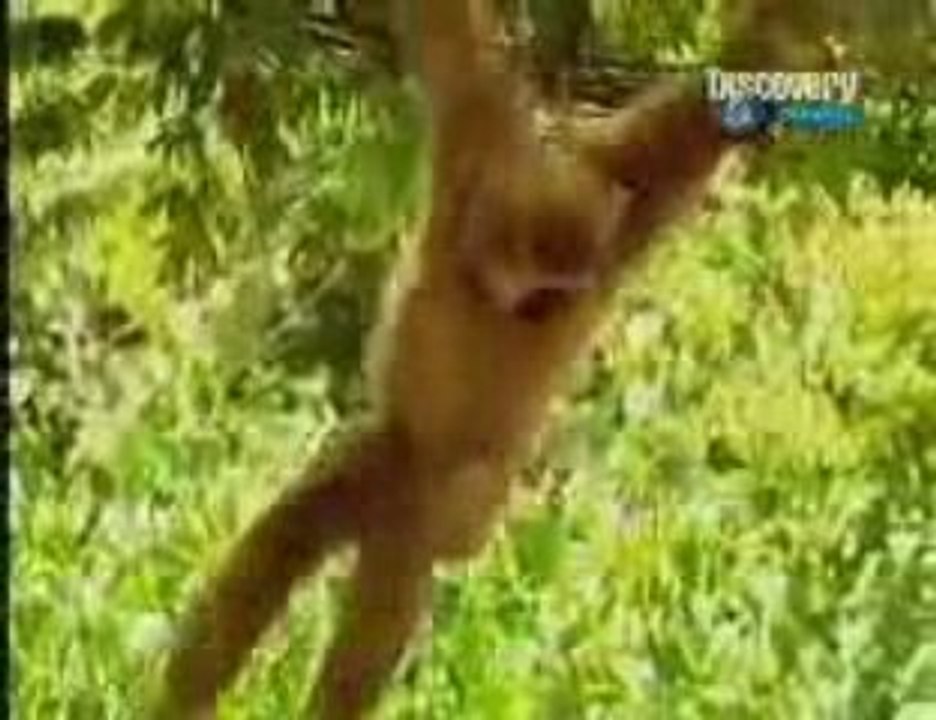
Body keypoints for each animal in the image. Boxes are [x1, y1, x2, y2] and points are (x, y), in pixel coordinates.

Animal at [152, 1, 802, 718]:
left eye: (558, 293)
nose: (548, 305)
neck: (484, 274)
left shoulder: (624, 200)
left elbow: (717, 100)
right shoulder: (485, 125)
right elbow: (449, 31)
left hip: (466, 508)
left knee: (402, 543)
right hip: (395, 459)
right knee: (305, 526)